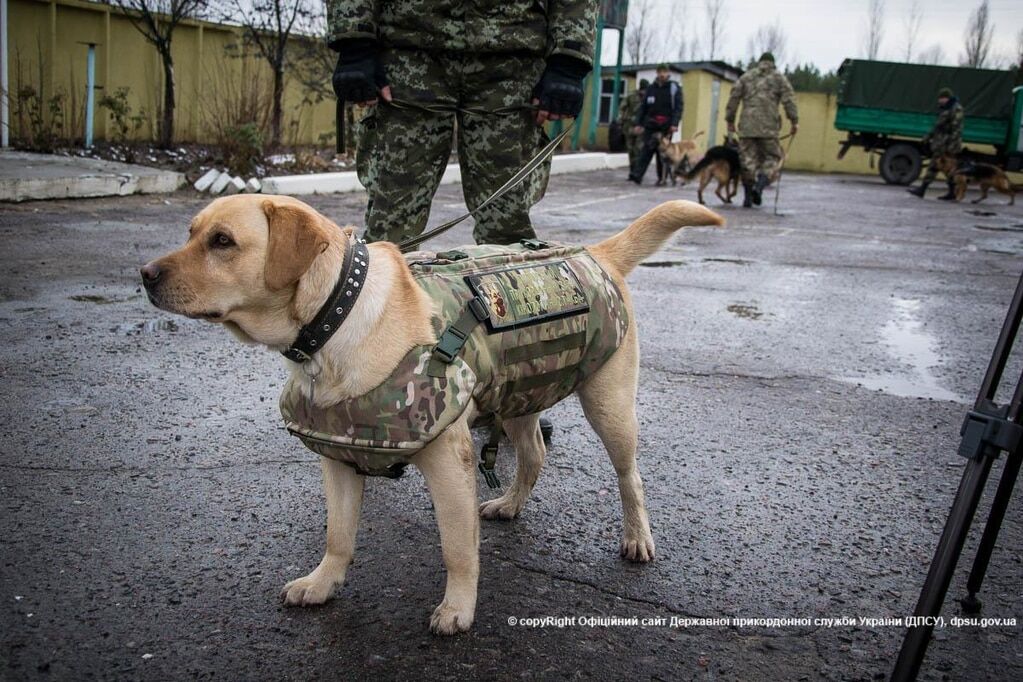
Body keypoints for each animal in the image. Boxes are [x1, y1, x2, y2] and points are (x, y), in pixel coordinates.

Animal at [140, 194, 724, 638]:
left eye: (222, 242)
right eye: (191, 232)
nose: (144, 274)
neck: (336, 317)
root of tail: (596, 253)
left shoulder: (448, 460)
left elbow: (457, 547)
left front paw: (458, 608)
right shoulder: (339, 460)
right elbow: (338, 535)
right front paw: (324, 583)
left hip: (610, 408)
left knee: (629, 476)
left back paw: (636, 536)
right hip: (517, 392)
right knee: (533, 454)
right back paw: (511, 503)